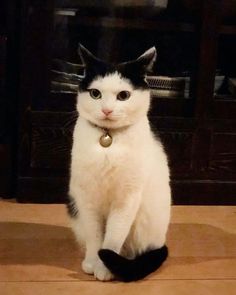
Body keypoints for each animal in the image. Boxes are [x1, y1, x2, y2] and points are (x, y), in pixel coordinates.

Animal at [67, 44, 171, 282]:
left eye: (124, 95)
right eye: (95, 94)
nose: (106, 110)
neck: (108, 140)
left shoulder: (127, 198)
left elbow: (113, 237)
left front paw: (105, 269)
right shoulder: (86, 196)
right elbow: (95, 236)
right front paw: (92, 262)